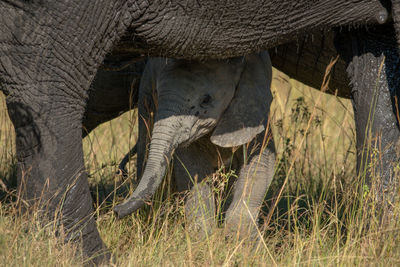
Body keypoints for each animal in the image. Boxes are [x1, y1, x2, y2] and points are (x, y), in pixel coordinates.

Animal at [115, 52, 276, 239]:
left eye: (206, 100)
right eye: (158, 92)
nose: (116, 210)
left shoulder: (253, 112)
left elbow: (260, 165)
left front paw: (239, 238)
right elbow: (192, 170)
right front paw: (203, 238)